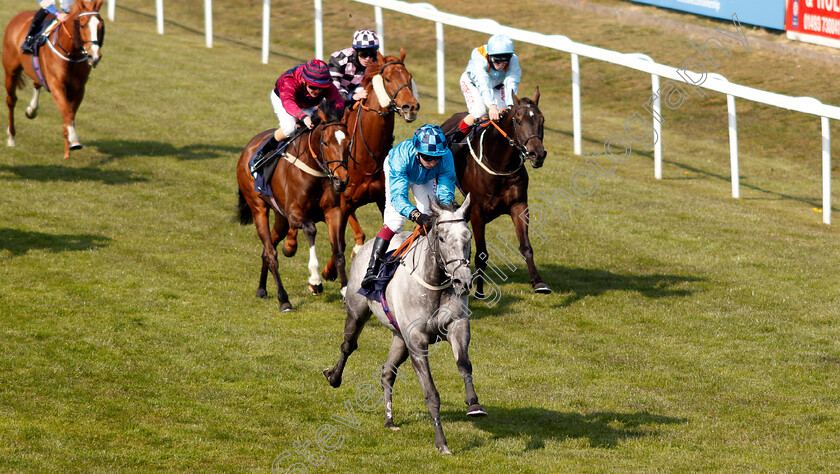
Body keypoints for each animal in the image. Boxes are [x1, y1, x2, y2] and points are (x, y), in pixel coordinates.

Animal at [3, 0, 105, 160]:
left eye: (100, 25)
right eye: (82, 25)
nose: (94, 56)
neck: (72, 53)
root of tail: (18, 16)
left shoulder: (79, 88)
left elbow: (71, 113)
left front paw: (69, 140)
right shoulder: (57, 84)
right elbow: (67, 112)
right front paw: (74, 140)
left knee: (37, 83)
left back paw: (32, 110)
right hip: (11, 71)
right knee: (11, 101)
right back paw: (11, 137)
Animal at [236, 101, 352, 312]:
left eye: (348, 143)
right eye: (325, 143)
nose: (341, 180)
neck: (315, 171)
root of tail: (249, 146)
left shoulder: (333, 212)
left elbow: (338, 252)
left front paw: (346, 291)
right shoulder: (294, 214)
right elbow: (311, 229)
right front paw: (315, 281)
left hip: (281, 219)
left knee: (267, 250)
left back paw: (262, 289)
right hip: (258, 208)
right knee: (271, 253)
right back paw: (284, 299)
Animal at [288, 49, 420, 282]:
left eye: (409, 77)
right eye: (388, 79)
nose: (410, 107)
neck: (367, 157)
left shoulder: (381, 199)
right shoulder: (341, 201)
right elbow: (340, 240)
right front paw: (328, 270)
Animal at [324, 193, 488, 456]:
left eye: (468, 236)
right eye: (442, 238)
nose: (462, 280)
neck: (434, 282)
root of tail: (365, 247)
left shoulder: (457, 325)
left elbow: (464, 364)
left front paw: (474, 403)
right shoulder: (417, 342)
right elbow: (431, 394)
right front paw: (441, 443)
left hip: (400, 339)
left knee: (387, 371)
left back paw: (389, 419)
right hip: (357, 313)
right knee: (348, 346)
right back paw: (334, 376)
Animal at [440, 86, 552, 296]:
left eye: (542, 120)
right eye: (518, 121)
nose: (537, 154)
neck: (500, 165)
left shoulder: (519, 205)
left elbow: (526, 247)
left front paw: (539, 282)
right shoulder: (477, 211)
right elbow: (481, 254)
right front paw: (479, 292)